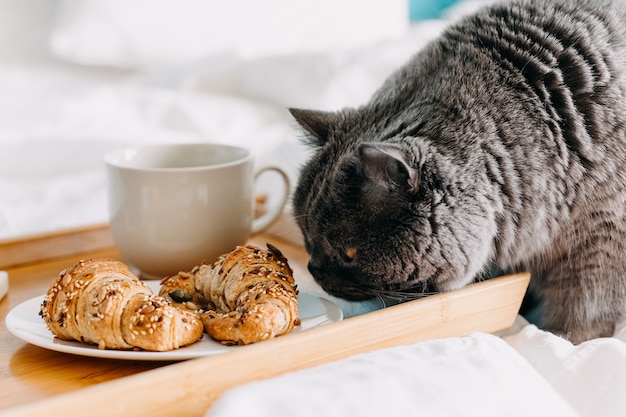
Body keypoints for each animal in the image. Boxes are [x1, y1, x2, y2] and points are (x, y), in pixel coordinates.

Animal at [290, 0, 624, 342]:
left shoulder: (602, 236)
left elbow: (585, 304)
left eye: (349, 254)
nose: (314, 269)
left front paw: (561, 338)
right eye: (307, 236)